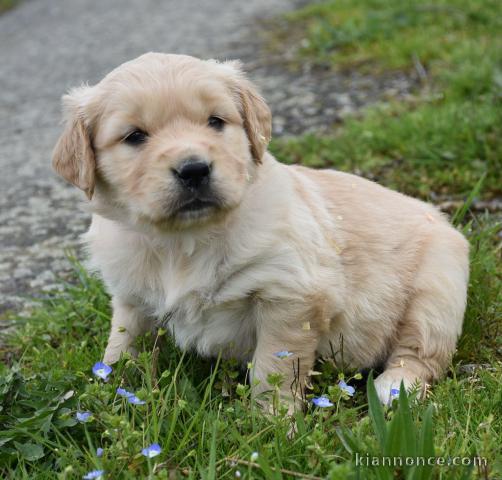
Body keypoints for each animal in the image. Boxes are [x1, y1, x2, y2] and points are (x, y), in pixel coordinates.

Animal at [53, 51, 468, 404]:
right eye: (135, 136)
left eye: (215, 122)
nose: (194, 169)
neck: (182, 242)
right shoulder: (131, 298)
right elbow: (123, 346)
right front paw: (111, 396)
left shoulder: (290, 297)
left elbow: (273, 370)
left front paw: (272, 425)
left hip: (437, 291)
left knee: (421, 353)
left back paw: (392, 389)